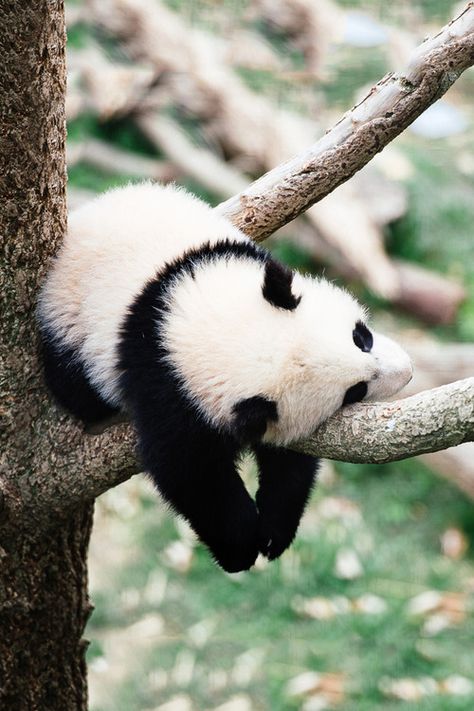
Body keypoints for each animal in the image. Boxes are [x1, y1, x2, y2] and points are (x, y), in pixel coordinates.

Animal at [37, 182, 412, 572]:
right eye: (355, 391)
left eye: (361, 337)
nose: (408, 370)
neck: (201, 323)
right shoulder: (165, 385)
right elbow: (189, 471)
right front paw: (241, 548)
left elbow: (288, 458)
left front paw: (274, 531)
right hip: (67, 322)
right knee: (75, 384)